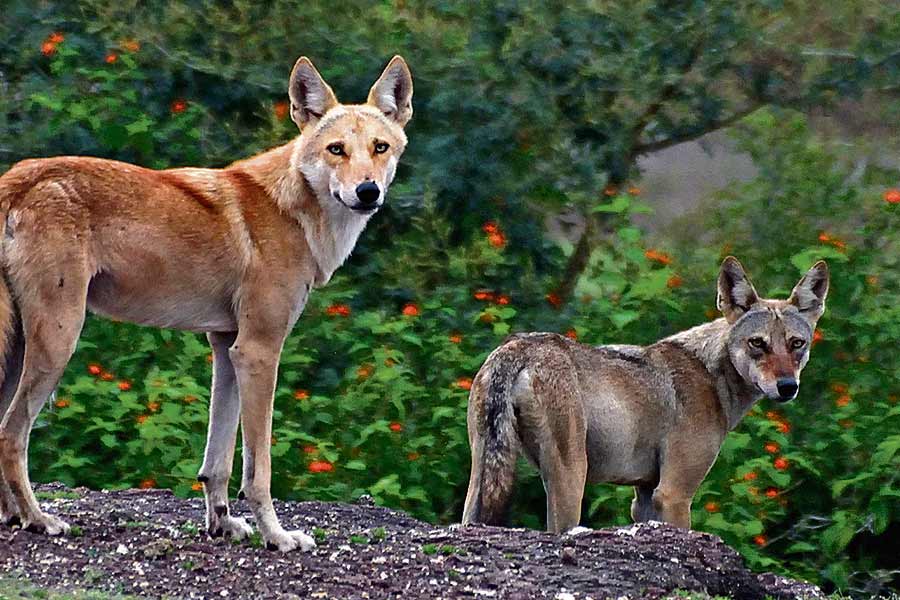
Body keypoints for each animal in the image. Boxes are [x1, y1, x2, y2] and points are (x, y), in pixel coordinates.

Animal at [0, 55, 413, 551]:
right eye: (336, 150)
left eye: (379, 147)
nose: (368, 191)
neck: (294, 212)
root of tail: (16, 178)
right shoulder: (259, 352)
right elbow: (258, 469)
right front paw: (277, 536)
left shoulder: (227, 349)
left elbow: (216, 463)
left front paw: (223, 526)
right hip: (58, 343)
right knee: (11, 434)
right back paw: (38, 519)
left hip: (19, 348)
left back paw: (12, 516)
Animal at [462, 257, 828, 533]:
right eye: (758, 344)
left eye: (796, 344)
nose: (787, 387)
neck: (712, 377)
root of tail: (517, 348)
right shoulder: (674, 494)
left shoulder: (645, 497)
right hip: (570, 479)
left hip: (483, 474)